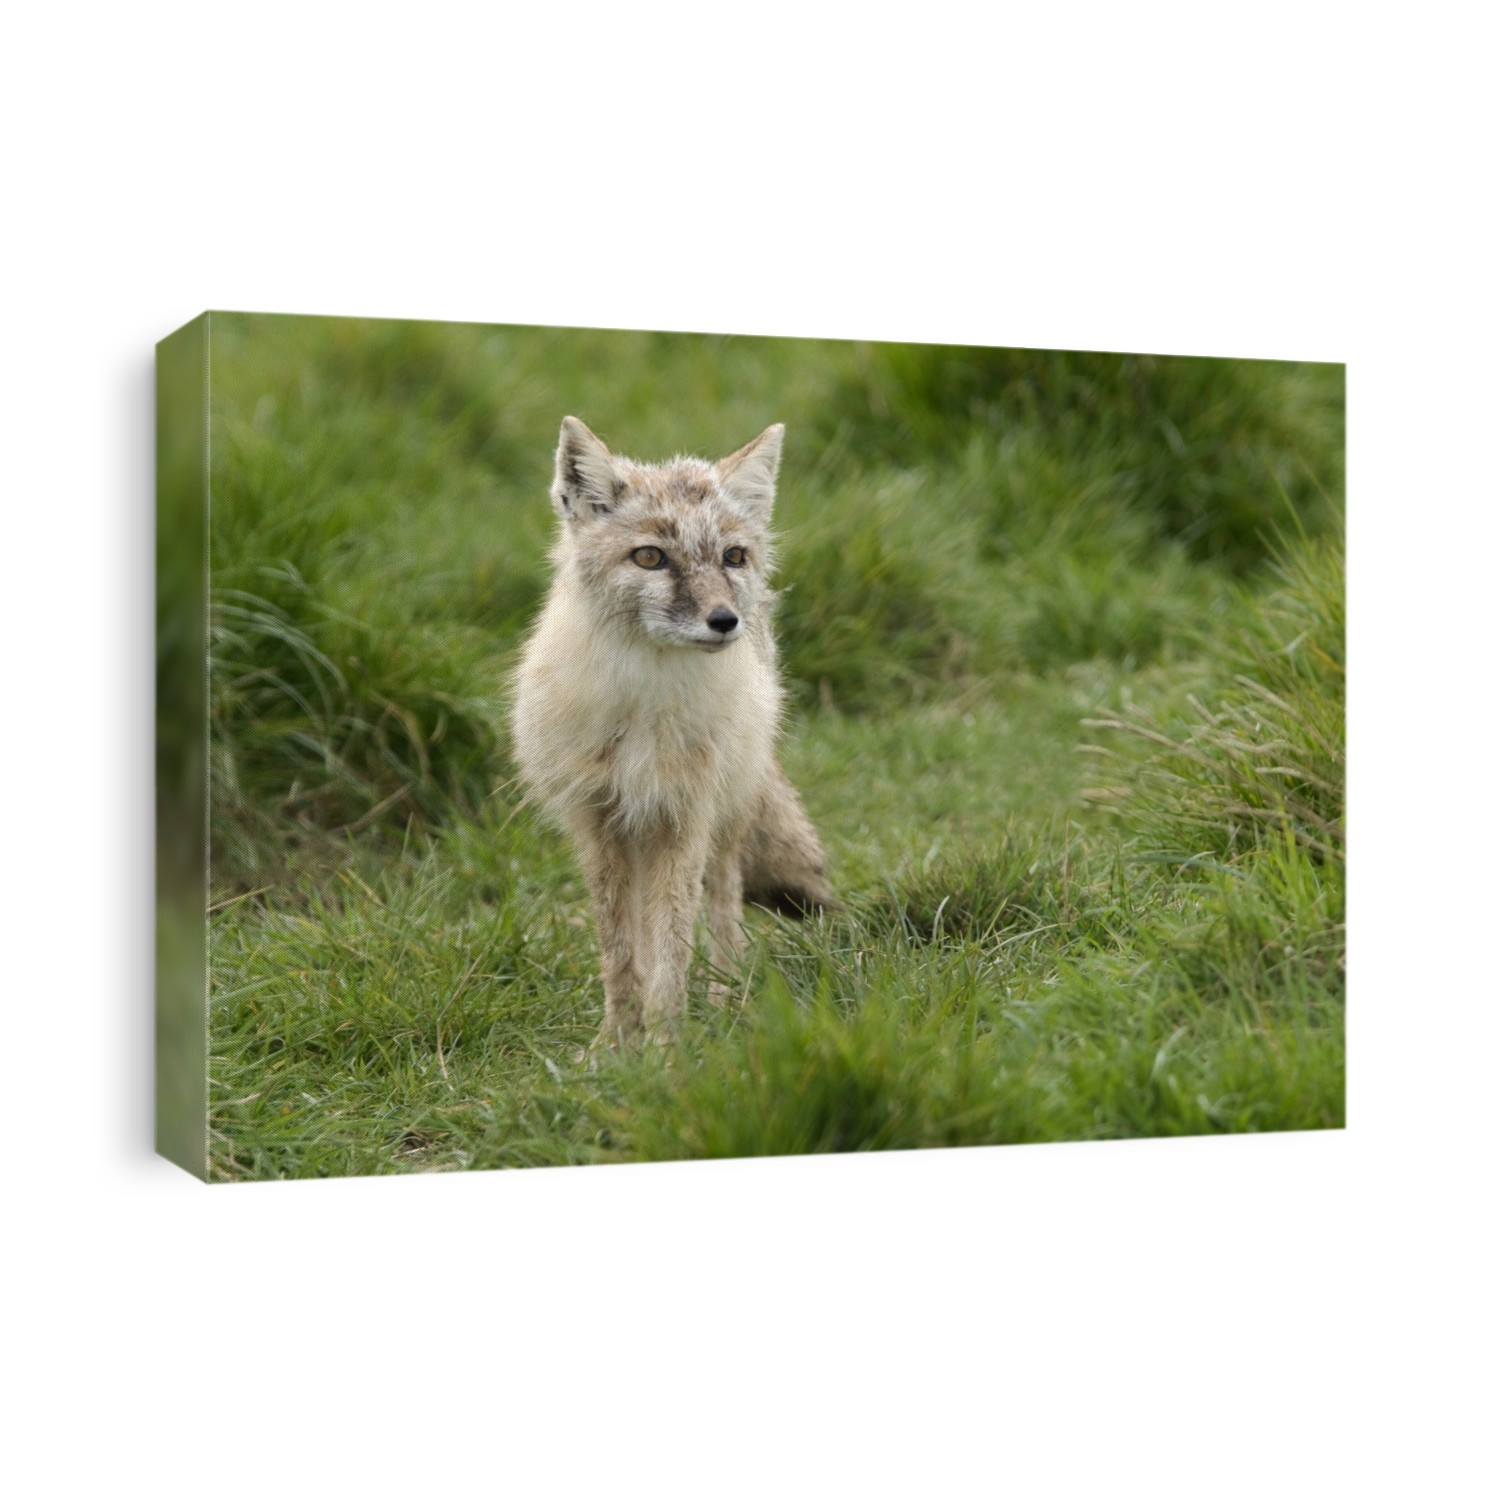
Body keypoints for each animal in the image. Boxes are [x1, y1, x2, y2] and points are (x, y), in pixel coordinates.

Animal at [510, 416, 835, 1051]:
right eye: (650, 558)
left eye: (732, 556)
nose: (724, 621)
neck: (642, 705)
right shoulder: (600, 820)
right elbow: (620, 951)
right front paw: (615, 1046)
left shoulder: (683, 817)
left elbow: (673, 949)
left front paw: (665, 1052)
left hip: (726, 818)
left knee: (726, 914)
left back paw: (728, 1004)